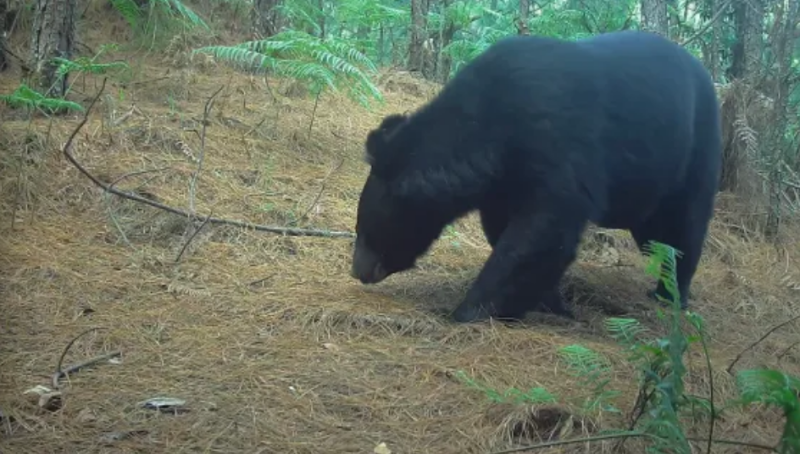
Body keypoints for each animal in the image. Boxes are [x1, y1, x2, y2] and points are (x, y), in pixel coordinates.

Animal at [346, 31, 720, 322]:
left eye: (365, 228)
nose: (358, 271)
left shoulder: (557, 145)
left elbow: (541, 230)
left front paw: (468, 309)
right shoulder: (502, 185)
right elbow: (507, 231)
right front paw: (549, 301)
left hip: (695, 157)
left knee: (684, 230)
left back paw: (670, 295)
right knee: (656, 239)